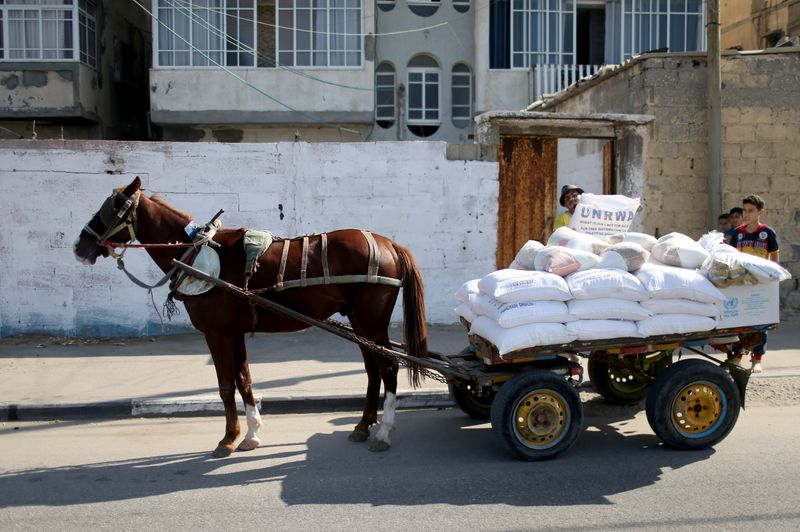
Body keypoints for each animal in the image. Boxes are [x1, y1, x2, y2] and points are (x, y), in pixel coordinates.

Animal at [72, 177, 428, 456]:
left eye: (113, 207)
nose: (80, 245)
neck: (196, 252)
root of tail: (389, 244)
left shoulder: (217, 333)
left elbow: (226, 385)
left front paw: (228, 439)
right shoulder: (235, 332)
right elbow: (244, 379)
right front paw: (252, 434)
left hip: (371, 321)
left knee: (389, 368)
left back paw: (384, 431)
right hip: (358, 321)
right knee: (373, 370)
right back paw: (364, 424)